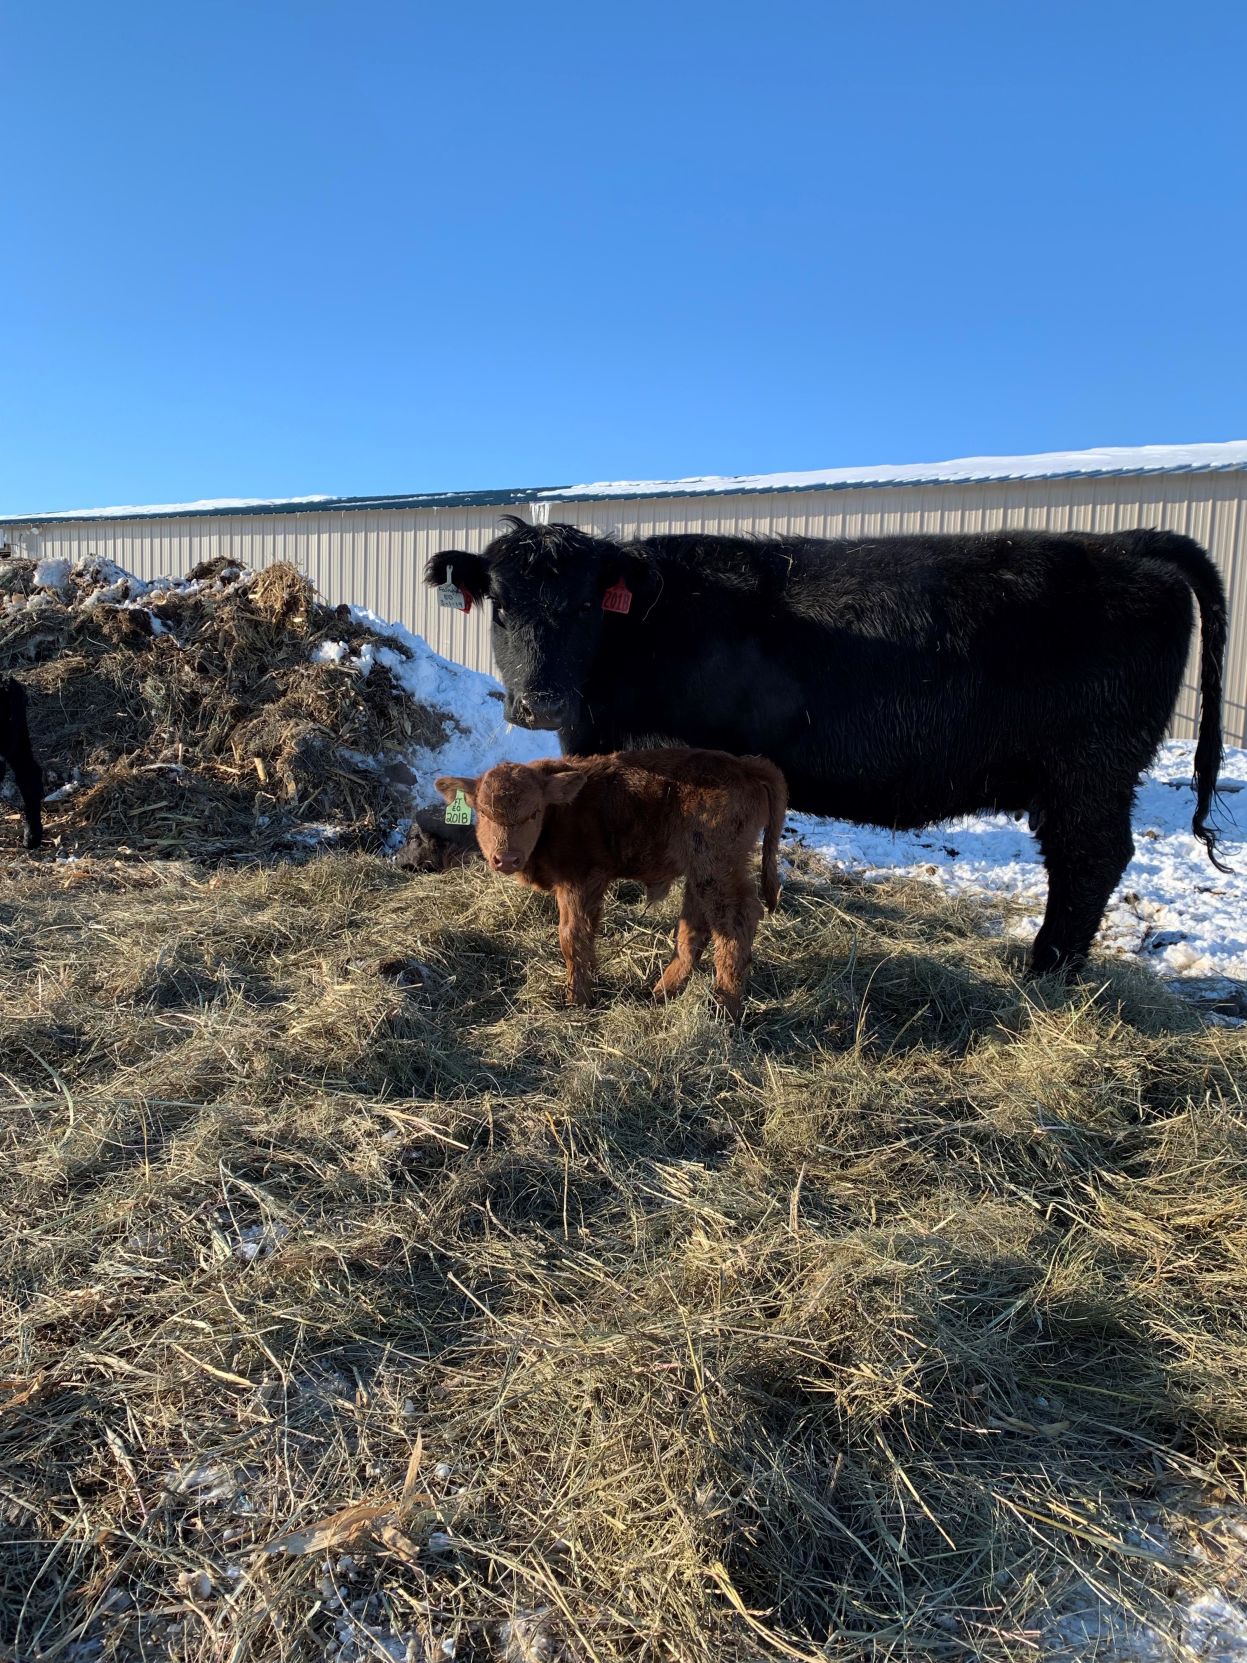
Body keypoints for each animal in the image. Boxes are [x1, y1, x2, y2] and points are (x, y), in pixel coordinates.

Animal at [427, 517, 1229, 978]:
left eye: (588, 603)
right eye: (501, 604)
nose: (540, 701)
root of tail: (1118, 544)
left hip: (1087, 771)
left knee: (1090, 860)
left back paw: (1045, 969)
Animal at [435, 748, 787, 1020]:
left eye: (534, 812)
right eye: (482, 812)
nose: (505, 858)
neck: (561, 812)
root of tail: (744, 765)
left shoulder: (581, 880)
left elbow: (573, 936)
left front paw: (577, 1000)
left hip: (716, 867)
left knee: (736, 922)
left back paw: (725, 1009)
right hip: (700, 873)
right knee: (693, 929)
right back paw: (661, 993)